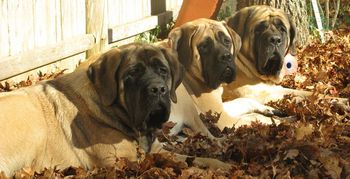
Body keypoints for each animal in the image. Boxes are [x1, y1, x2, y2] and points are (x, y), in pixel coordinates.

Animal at [0, 42, 185, 176]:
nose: (158, 89)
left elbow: (185, 158)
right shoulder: (122, 159)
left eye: (163, 70)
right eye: (133, 73)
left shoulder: (158, 149)